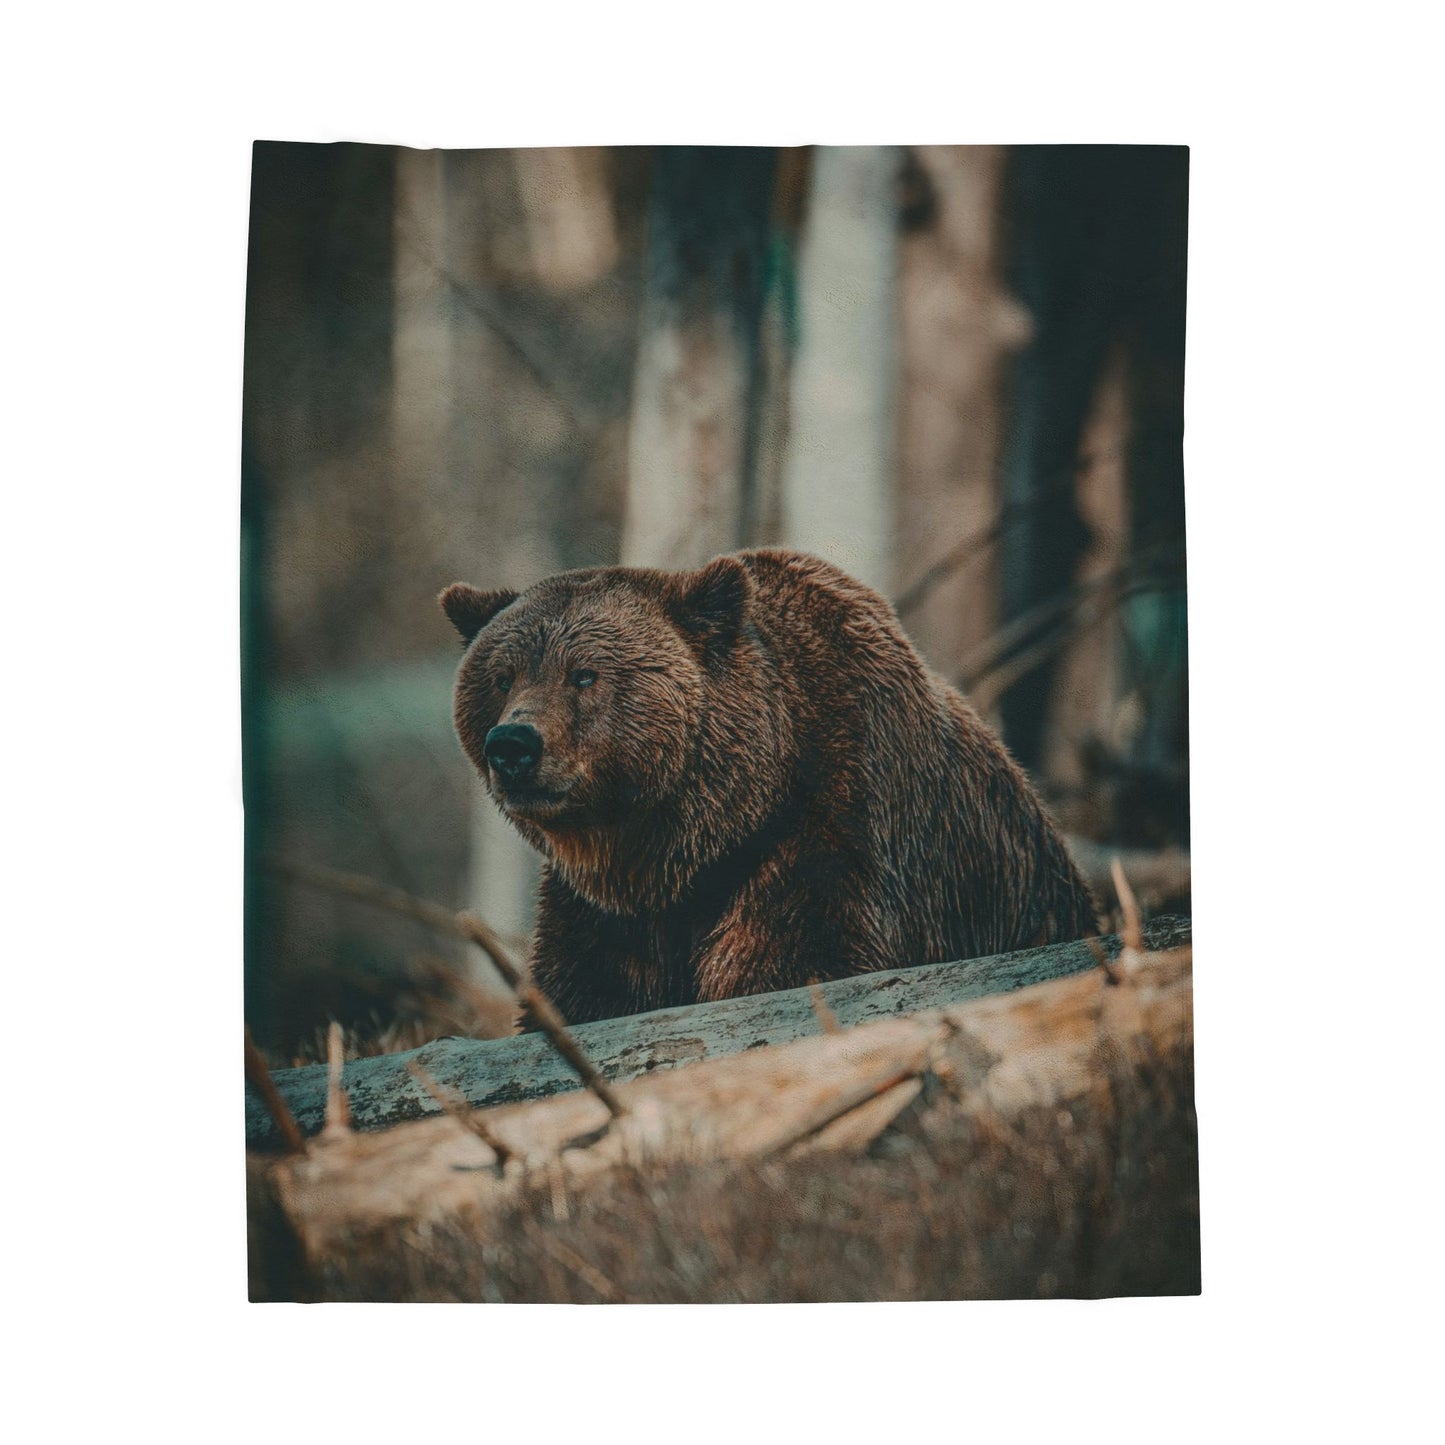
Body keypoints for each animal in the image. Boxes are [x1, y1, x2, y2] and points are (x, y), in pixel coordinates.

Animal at [441, 548, 1097, 1027]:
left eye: (584, 674)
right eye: (502, 676)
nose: (513, 745)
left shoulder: (837, 828)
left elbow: (795, 959)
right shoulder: (604, 912)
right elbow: (582, 991)